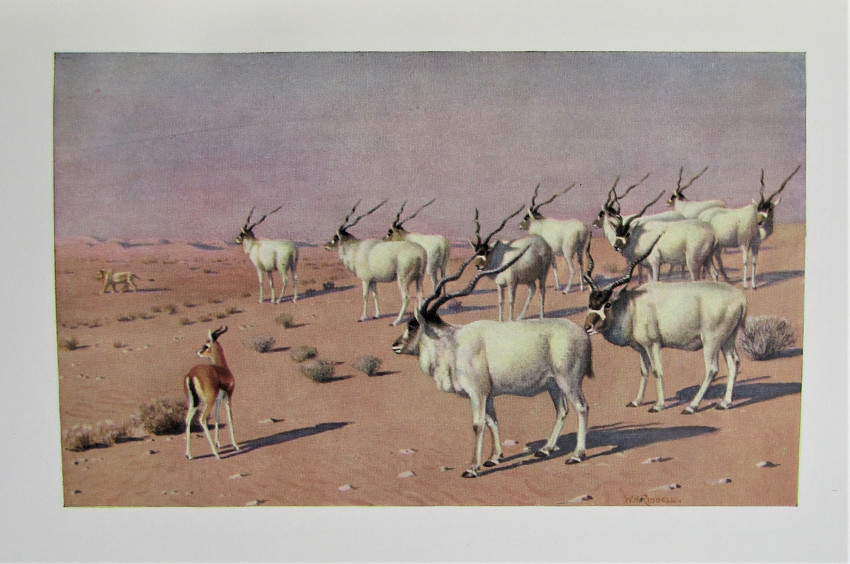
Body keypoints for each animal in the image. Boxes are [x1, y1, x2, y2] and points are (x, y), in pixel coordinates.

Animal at [184, 326, 239, 460]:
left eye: (206, 346)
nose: (198, 352)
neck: (222, 369)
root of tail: (191, 374)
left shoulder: (219, 399)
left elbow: (217, 417)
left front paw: (218, 443)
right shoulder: (228, 396)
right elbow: (230, 417)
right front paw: (235, 445)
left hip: (194, 402)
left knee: (187, 419)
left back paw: (189, 454)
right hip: (208, 401)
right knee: (202, 419)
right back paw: (216, 454)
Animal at [392, 244, 592, 478]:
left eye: (412, 326)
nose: (395, 345)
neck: (453, 343)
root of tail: (582, 333)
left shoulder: (477, 393)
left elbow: (478, 425)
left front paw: (472, 468)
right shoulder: (487, 395)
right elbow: (492, 421)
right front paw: (494, 458)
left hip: (569, 382)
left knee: (582, 407)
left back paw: (577, 455)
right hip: (553, 384)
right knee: (562, 410)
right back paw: (546, 449)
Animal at [583, 241, 747, 414]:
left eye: (607, 304)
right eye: (590, 303)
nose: (588, 327)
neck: (632, 305)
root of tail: (740, 298)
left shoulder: (653, 344)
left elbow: (657, 370)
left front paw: (658, 405)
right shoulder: (641, 348)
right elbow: (644, 371)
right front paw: (636, 401)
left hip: (711, 342)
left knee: (712, 369)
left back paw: (691, 406)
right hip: (727, 340)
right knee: (734, 363)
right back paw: (725, 403)